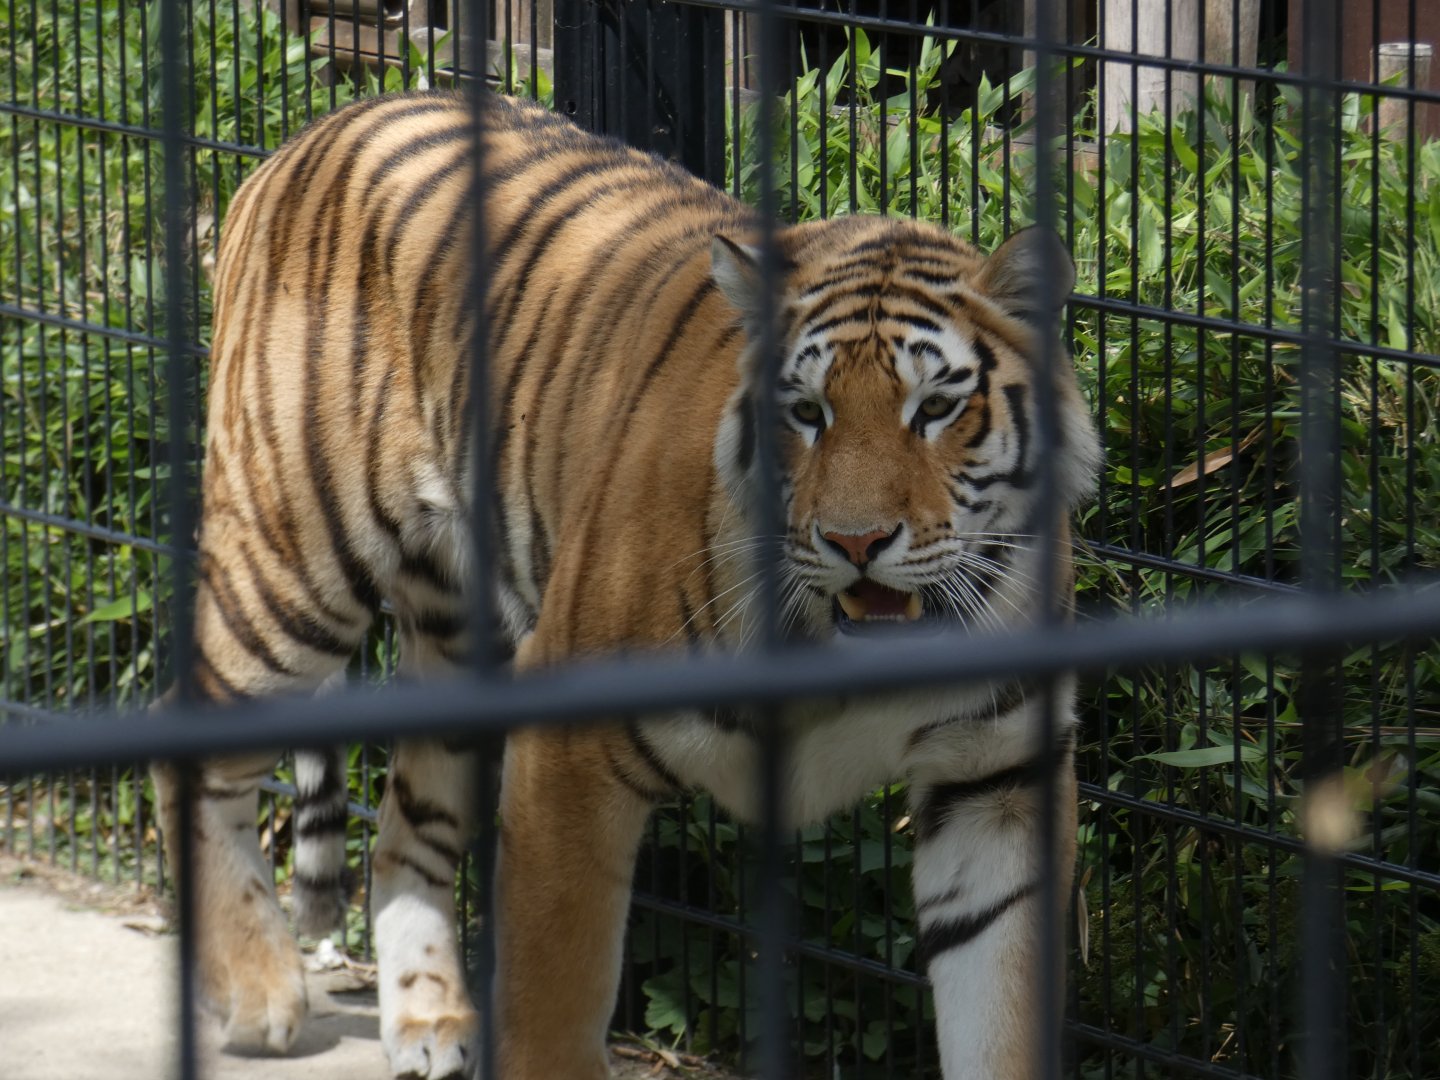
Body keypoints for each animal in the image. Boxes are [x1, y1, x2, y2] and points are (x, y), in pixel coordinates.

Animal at [149, 88, 1100, 1080]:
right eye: (807, 412)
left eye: (937, 408)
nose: (857, 539)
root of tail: (311, 132)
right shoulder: (566, 745)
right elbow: (557, 997)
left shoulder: (996, 776)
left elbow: (1000, 1010)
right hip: (295, 563)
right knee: (184, 734)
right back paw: (259, 990)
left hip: (459, 640)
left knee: (406, 831)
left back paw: (429, 1018)